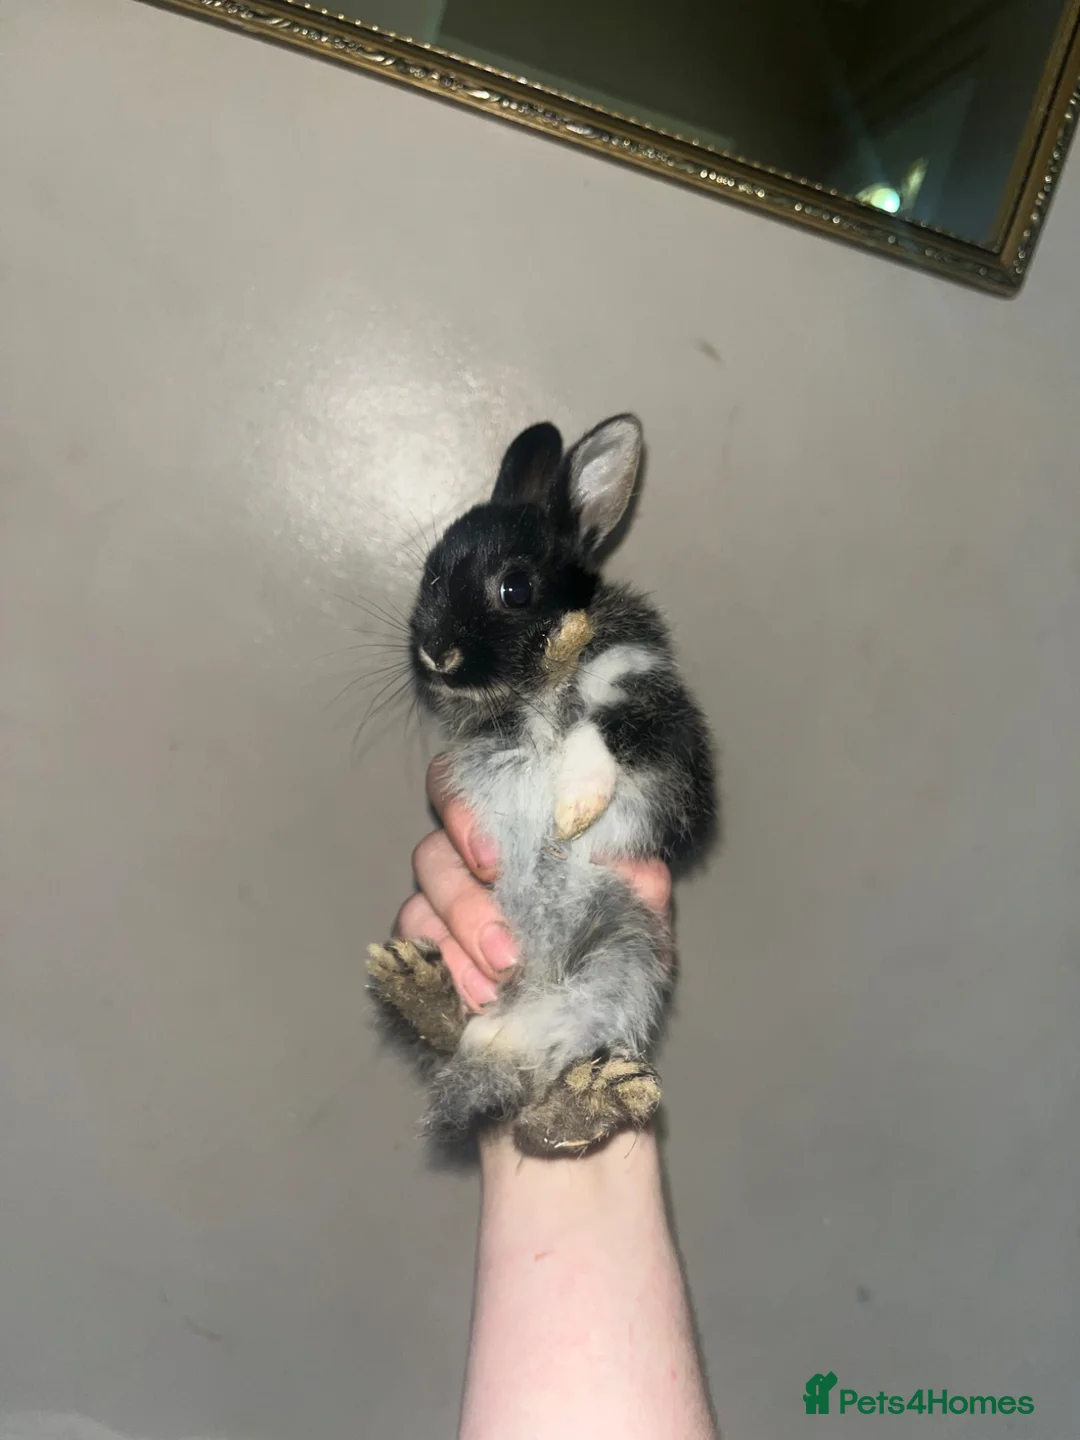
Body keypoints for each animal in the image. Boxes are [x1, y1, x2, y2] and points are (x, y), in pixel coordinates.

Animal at [367, 414, 717, 1155]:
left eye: (516, 589)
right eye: (431, 573)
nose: (437, 653)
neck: (539, 684)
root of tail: (515, 1012)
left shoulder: (664, 728)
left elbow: (602, 723)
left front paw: (573, 807)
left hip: (621, 958)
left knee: (536, 1108)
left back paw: (598, 1094)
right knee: (476, 1059)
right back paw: (419, 988)